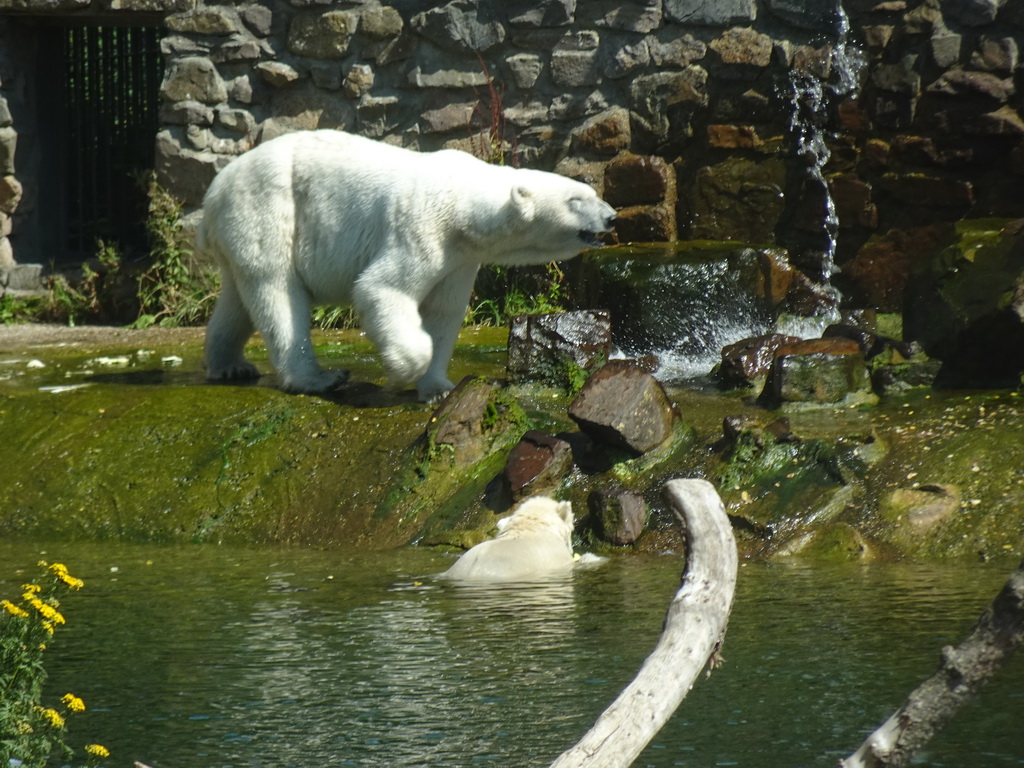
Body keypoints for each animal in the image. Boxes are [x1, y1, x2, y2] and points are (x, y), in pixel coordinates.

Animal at [197, 130, 614, 403]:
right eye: (576, 200)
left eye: (592, 192)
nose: (611, 217)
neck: (463, 205)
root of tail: (214, 190)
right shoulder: (422, 228)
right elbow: (382, 289)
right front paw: (402, 370)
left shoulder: (460, 259)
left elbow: (443, 312)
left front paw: (438, 389)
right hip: (270, 208)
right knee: (278, 293)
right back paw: (319, 378)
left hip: (240, 232)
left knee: (239, 299)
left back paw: (230, 365)